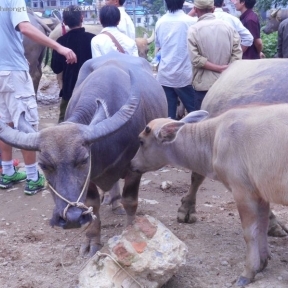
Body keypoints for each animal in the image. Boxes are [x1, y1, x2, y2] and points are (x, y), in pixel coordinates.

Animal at [0, 53, 166, 255]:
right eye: (44, 165)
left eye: (84, 160)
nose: (71, 218)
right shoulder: (90, 179)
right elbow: (92, 204)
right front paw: (92, 241)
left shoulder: (134, 170)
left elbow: (130, 202)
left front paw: (130, 232)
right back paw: (112, 199)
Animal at [132, 104, 288, 286]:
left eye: (141, 141)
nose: (131, 164)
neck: (213, 139)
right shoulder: (260, 194)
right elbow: (262, 227)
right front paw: (262, 263)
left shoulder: (242, 192)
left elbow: (250, 234)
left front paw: (248, 272)